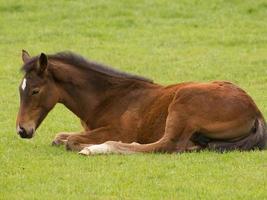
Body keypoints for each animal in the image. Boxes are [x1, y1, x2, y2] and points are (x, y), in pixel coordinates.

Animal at [15, 50, 266, 155]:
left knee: (165, 146)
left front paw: (85, 145)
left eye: (35, 91)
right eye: (20, 90)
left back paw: (99, 148)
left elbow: (71, 141)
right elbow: (60, 137)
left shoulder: (118, 131)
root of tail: (255, 112)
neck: (107, 98)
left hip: (183, 102)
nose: (22, 130)